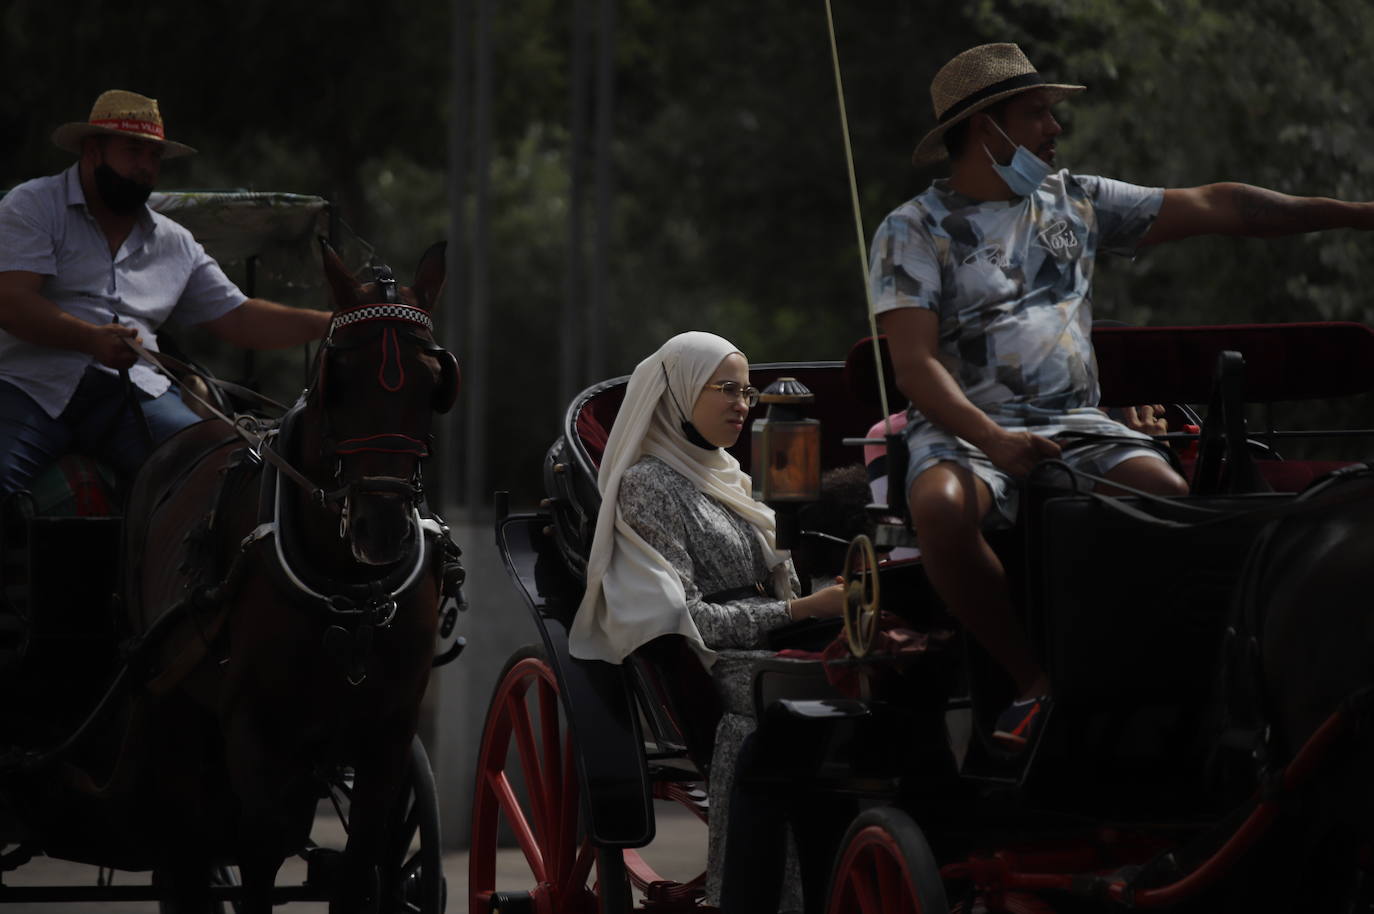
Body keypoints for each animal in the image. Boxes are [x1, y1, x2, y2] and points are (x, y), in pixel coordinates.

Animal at [113, 240, 456, 912]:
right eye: (336, 380)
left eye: (434, 384)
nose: (382, 529)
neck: (348, 594)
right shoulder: (255, 728)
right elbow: (260, 853)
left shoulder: (388, 731)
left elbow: (363, 859)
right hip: (174, 706)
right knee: (188, 841)